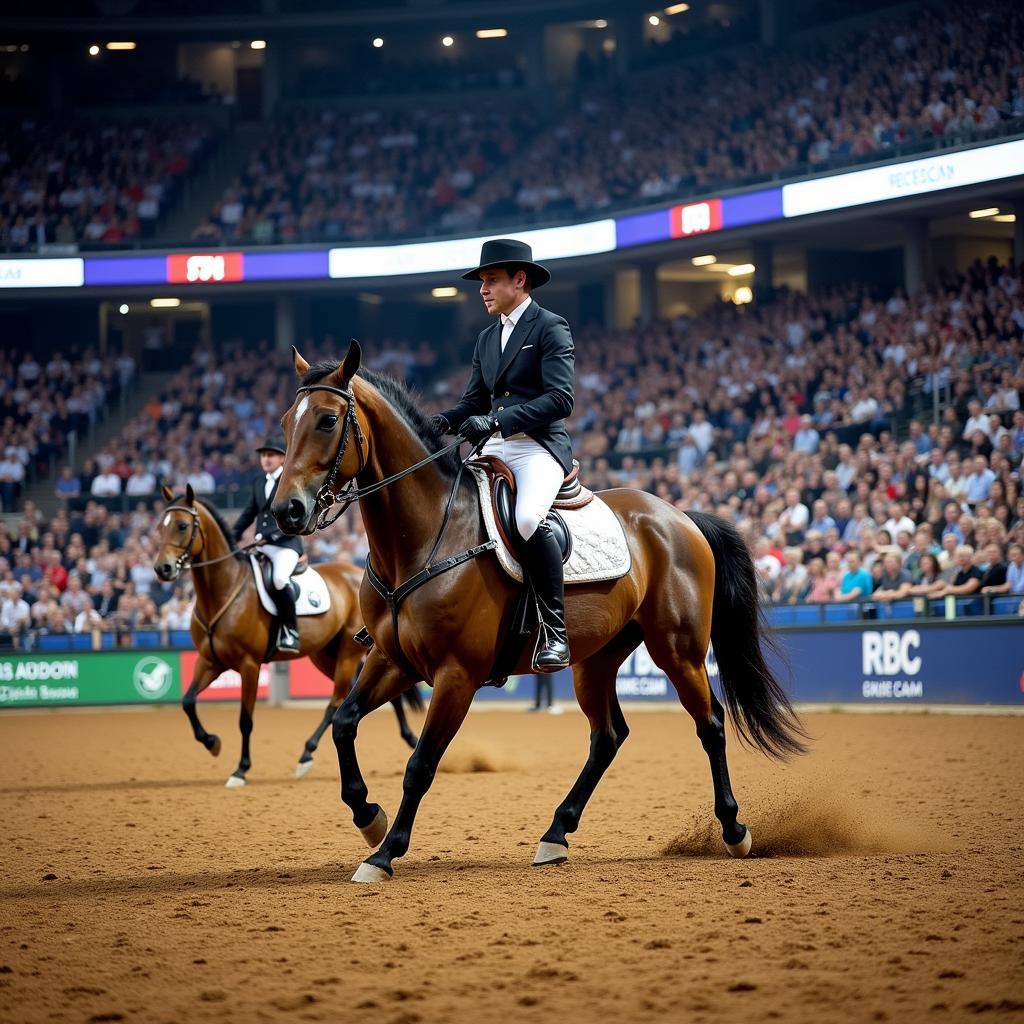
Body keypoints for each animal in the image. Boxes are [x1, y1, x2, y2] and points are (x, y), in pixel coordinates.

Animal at [150, 483, 419, 786]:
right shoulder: (210, 661)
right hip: (326, 656)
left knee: (336, 702)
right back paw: (407, 738)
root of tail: (354, 572)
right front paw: (212, 742)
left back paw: (306, 754)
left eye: (182, 525)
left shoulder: (249, 665)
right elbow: (187, 701)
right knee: (365, 696)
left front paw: (240, 770)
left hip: (348, 655)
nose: (162, 569)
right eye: (160, 527)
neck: (221, 593)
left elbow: (245, 719)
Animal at [272, 342, 806, 880]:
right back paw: (555, 834)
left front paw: (384, 853)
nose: (285, 511)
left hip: (677, 650)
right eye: (285, 422)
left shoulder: (456, 675)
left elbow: (421, 764)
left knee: (710, 723)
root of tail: (678, 516)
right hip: (596, 659)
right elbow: (344, 722)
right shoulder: (392, 659)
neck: (424, 538)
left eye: (327, 420)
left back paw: (734, 831)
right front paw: (369, 818)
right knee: (608, 736)